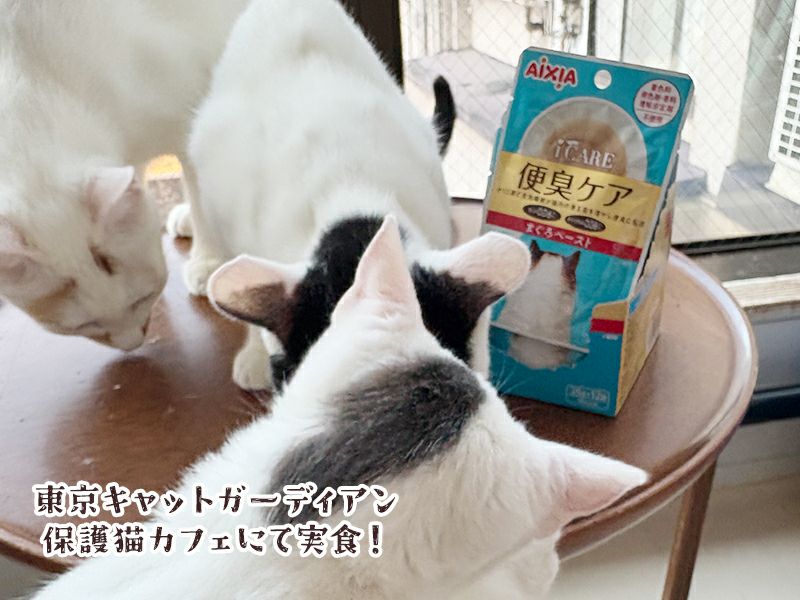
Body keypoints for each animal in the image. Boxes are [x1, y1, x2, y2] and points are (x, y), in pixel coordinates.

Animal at [0, 0, 250, 349]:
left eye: (141, 298)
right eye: (85, 326)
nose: (132, 343)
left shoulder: (189, 115)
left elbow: (200, 186)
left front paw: (209, 259)